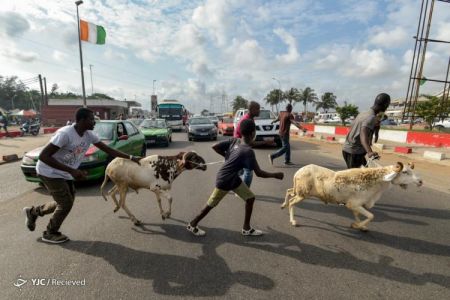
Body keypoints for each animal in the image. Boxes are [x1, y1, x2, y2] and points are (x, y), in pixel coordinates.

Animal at [282, 162, 422, 230]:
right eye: (405, 172)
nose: (420, 181)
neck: (374, 182)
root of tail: (298, 172)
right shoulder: (353, 204)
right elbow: (371, 216)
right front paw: (356, 226)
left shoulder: (356, 205)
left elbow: (358, 216)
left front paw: (361, 226)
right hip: (302, 193)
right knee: (292, 202)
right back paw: (293, 221)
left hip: (299, 190)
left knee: (289, 191)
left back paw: (283, 205)